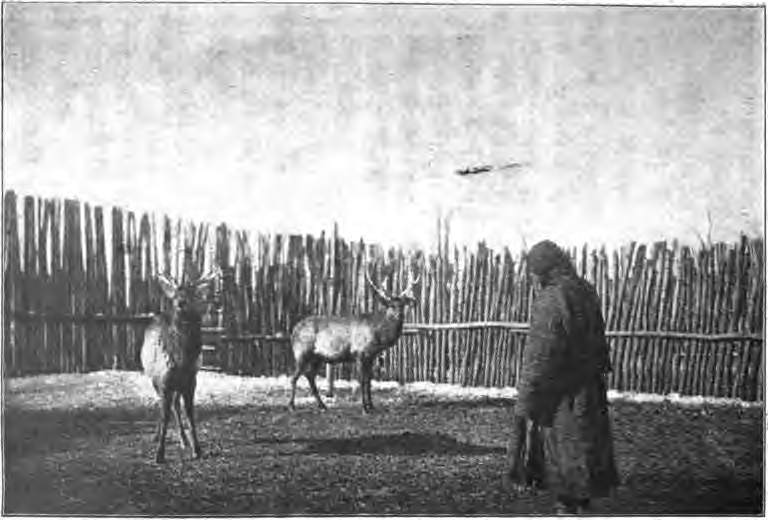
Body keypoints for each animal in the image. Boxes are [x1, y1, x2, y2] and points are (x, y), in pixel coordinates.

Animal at [140, 267, 218, 463]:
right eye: (175, 294)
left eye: (192, 293)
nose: (181, 303)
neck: (181, 360)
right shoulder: (163, 381)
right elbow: (165, 414)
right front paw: (159, 454)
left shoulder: (191, 381)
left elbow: (190, 414)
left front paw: (197, 449)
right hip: (154, 379)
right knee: (162, 404)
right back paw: (157, 436)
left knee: (175, 405)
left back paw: (184, 440)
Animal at [289, 269, 420, 413]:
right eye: (391, 305)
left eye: (402, 304)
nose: (399, 315)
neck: (379, 336)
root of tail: (294, 330)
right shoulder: (359, 353)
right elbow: (362, 380)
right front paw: (364, 408)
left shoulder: (371, 356)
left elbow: (369, 381)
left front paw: (372, 406)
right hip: (302, 352)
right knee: (294, 377)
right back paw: (292, 406)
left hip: (317, 357)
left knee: (309, 375)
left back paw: (322, 405)